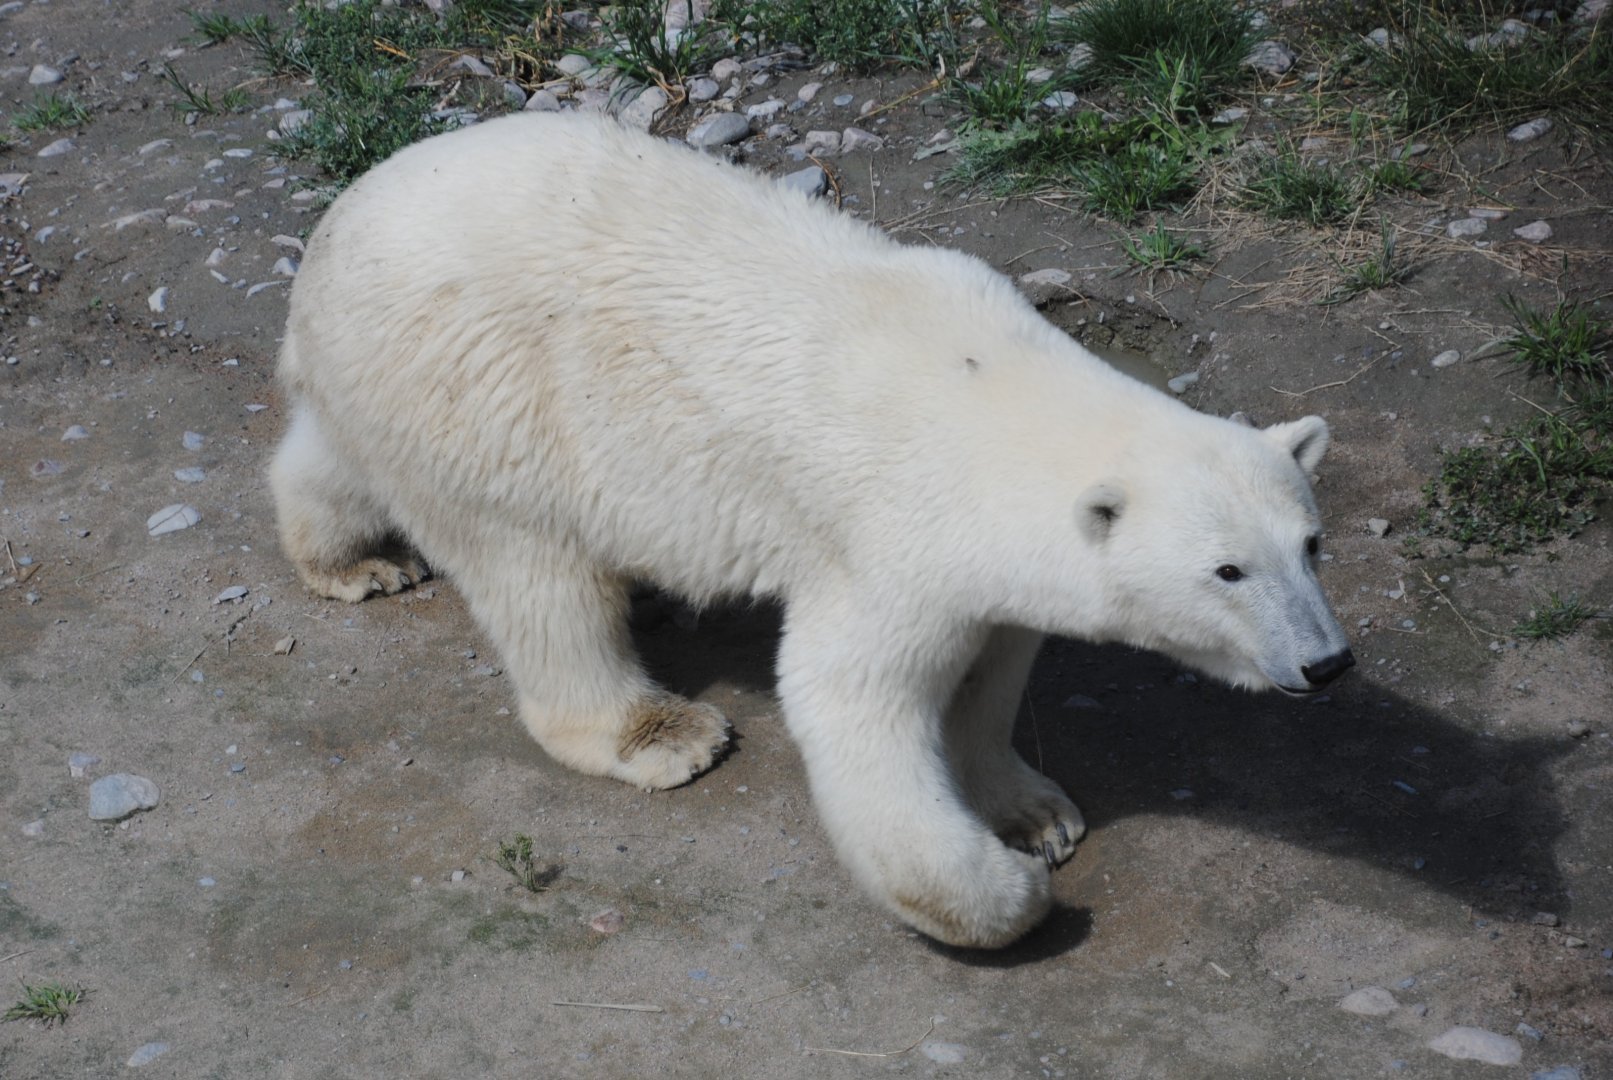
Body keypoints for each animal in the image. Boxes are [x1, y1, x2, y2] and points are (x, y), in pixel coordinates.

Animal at [270, 112, 1352, 949]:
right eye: (1226, 570)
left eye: (1309, 546)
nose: (1328, 662)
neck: (990, 393)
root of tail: (332, 237)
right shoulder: (893, 542)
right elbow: (850, 699)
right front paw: (1009, 892)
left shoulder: (989, 571)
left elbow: (993, 670)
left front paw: (1033, 815)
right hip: (489, 396)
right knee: (538, 577)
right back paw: (661, 732)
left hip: (394, 388)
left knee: (336, 459)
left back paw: (355, 559)